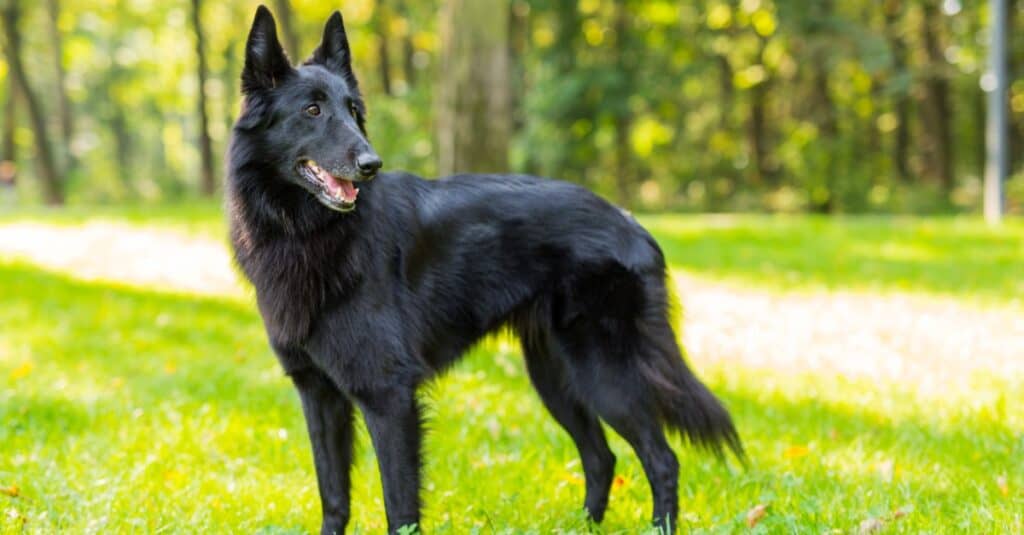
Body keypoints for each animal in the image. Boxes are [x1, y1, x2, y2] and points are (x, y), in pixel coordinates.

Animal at [230, 6, 745, 528]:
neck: (305, 231)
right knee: (602, 456)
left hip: (604, 374)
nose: (372, 164)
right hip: (556, 377)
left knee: (661, 459)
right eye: (312, 111)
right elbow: (334, 496)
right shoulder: (319, 395)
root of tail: (629, 221)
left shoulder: (388, 396)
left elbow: (400, 504)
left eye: (353, 110)